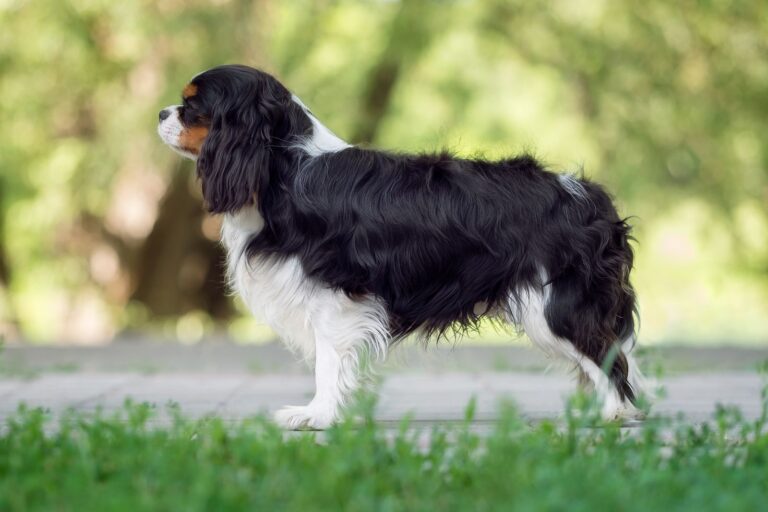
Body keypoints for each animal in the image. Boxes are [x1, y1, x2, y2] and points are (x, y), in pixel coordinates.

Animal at [154, 64, 640, 428]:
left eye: (193, 107)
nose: (160, 113)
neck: (286, 168)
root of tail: (587, 194)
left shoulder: (336, 296)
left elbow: (327, 362)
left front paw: (317, 415)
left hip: (556, 309)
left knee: (609, 359)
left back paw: (614, 413)